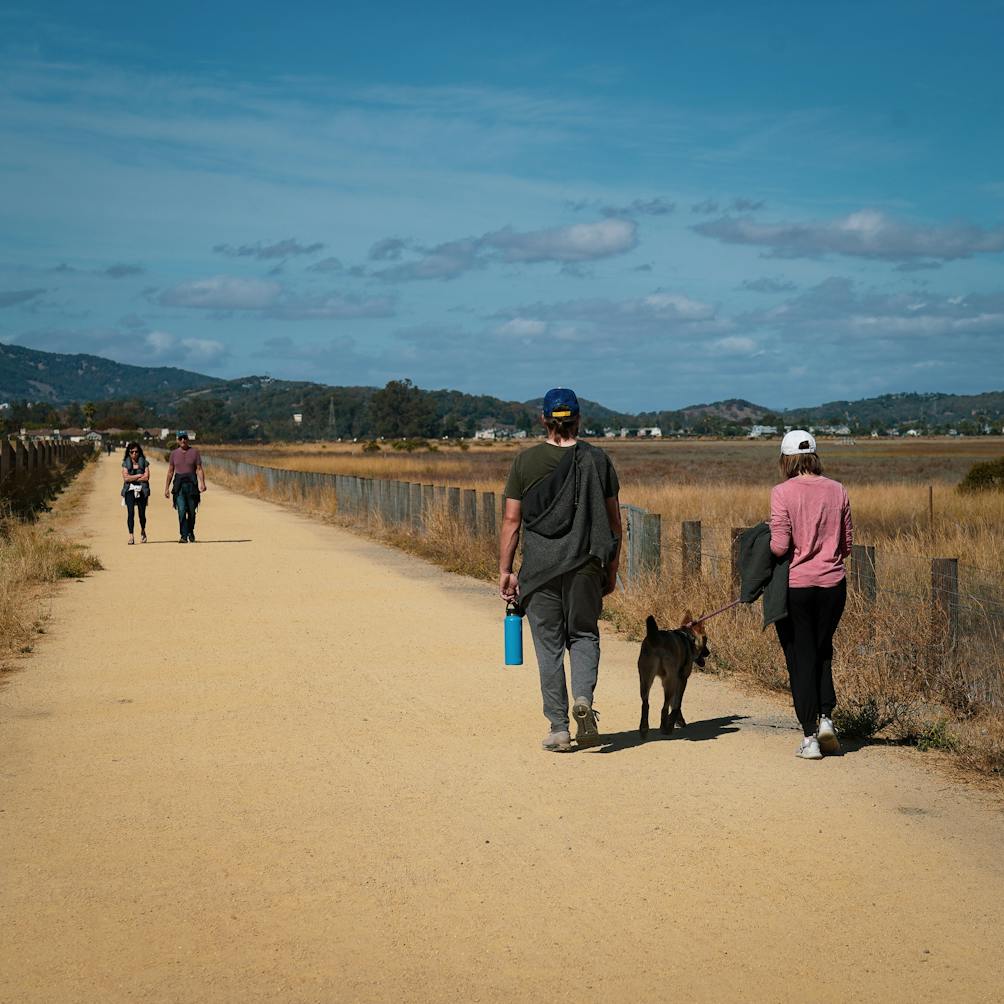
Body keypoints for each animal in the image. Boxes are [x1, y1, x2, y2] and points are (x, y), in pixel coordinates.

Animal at [638, 610, 710, 738]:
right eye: (705, 638)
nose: (708, 652)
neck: (689, 637)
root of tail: (656, 639)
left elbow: (674, 704)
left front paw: (678, 720)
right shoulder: (682, 679)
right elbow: (677, 704)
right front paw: (674, 721)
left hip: (645, 680)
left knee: (645, 704)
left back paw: (644, 729)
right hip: (669, 681)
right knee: (664, 707)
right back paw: (665, 728)